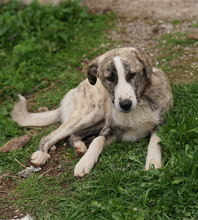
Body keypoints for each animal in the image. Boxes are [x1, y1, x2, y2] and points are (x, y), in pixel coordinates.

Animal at [10, 46, 172, 177]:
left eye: (132, 75)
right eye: (110, 78)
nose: (125, 104)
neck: (139, 102)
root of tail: (76, 87)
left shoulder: (162, 124)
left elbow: (154, 141)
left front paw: (153, 163)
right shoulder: (109, 128)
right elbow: (96, 141)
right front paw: (84, 162)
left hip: (96, 119)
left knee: (71, 135)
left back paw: (78, 145)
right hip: (90, 114)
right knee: (50, 136)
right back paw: (41, 154)